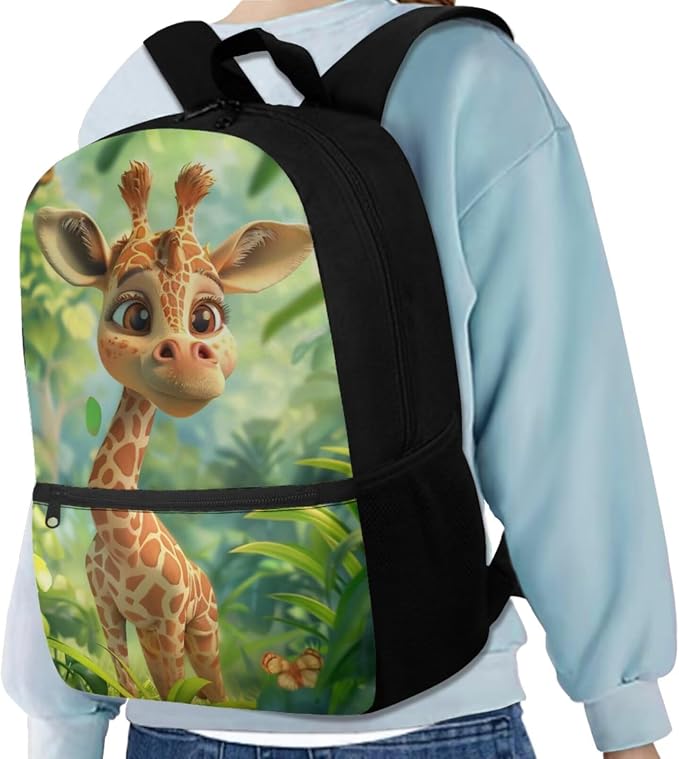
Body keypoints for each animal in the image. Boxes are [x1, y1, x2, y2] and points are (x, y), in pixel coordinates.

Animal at [34, 160, 312, 700]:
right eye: (133, 315)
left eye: (205, 318)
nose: (187, 362)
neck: (118, 535)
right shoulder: (110, 612)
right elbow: (128, 683)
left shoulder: (166, 621)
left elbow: (172, 692)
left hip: (203, 627)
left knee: (216, 689)